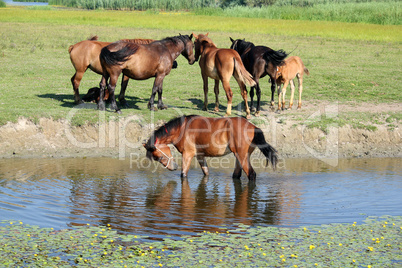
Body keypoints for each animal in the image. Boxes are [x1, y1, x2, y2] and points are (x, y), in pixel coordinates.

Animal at [143, 114, 278, 181]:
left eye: (159, 157)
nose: (173, 167)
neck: (182, 128)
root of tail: (253, 127)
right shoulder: (200, 156)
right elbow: (206, 172)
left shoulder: (187, 154)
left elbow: (183, 174)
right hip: (239, 157)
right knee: (237, 175)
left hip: (242, 156)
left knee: (251, 174)